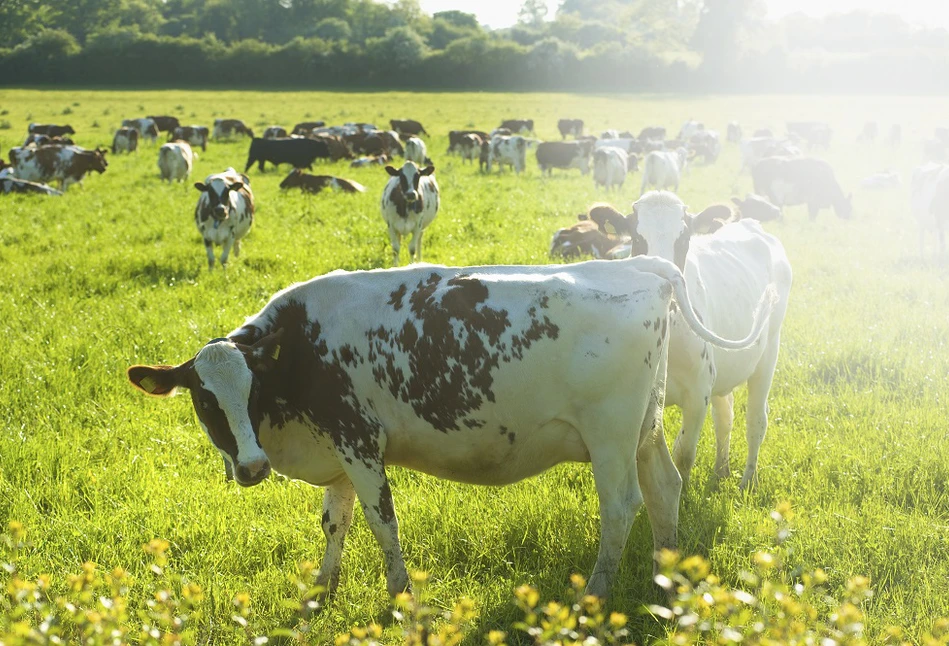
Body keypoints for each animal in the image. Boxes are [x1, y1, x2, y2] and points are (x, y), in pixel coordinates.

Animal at [124, 247, 764, 596]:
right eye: (206, 402)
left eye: (251, 391)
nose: (252, 466)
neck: (303, 349)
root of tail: (641, 266)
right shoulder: (336, 450)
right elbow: (335, 522)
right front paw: (322, 589)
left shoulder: (360, 443)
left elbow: (382, 524)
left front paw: (399, 594)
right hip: (646, 432)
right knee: (665, 489)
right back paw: (665, 571)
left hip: (610, 438)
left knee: (622, 506)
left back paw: (599, 591)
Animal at [588, 192, 788, 492]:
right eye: (636, 238)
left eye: (684, 240)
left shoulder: (698, 392)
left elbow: (683, 452)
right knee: (725, 415)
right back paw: (721, 471)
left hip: (769, 351)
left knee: (756, 419)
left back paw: (747, 482)